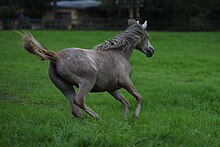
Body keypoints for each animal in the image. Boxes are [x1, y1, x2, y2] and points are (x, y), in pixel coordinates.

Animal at [20, 19, 155, 120]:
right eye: (147, 36)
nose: (151, 51)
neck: (118, 53)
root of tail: (57, 57)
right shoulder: (125, 81)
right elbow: (139, 98)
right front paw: (135, 117)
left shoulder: (111, 89)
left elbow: (126, 103)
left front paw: (125, 120)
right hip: (87, 82)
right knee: (79, 100)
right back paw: (97, 117)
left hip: (65, 86)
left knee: (75, 109)